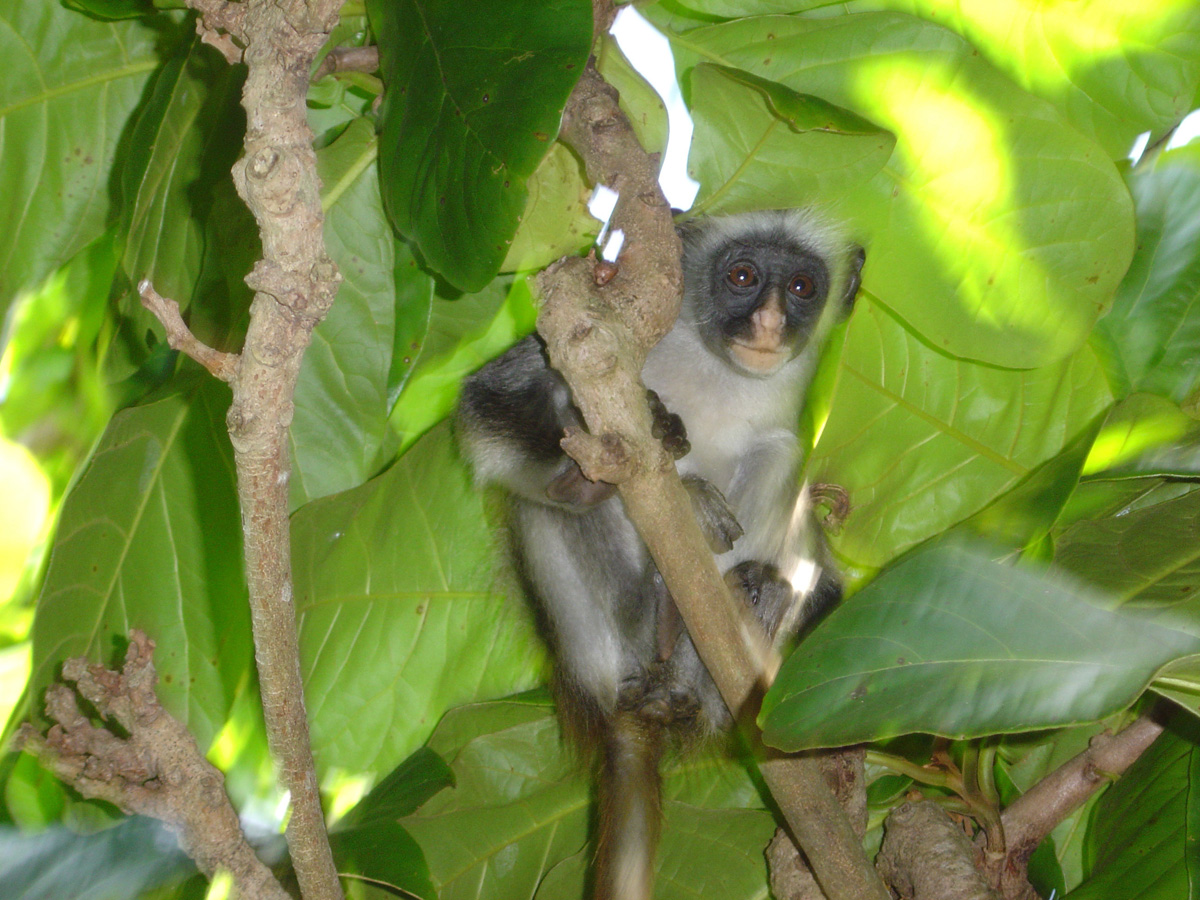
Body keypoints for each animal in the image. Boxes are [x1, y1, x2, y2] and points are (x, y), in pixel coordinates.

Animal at [456, 208, 865, 900]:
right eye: (743, 276)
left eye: (803, 287)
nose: (770, 323)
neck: (718, 374)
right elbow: (485, 400)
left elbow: (817, 554)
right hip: (598, 640)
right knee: (547, 504)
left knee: (779, 455)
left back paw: (731, 620)